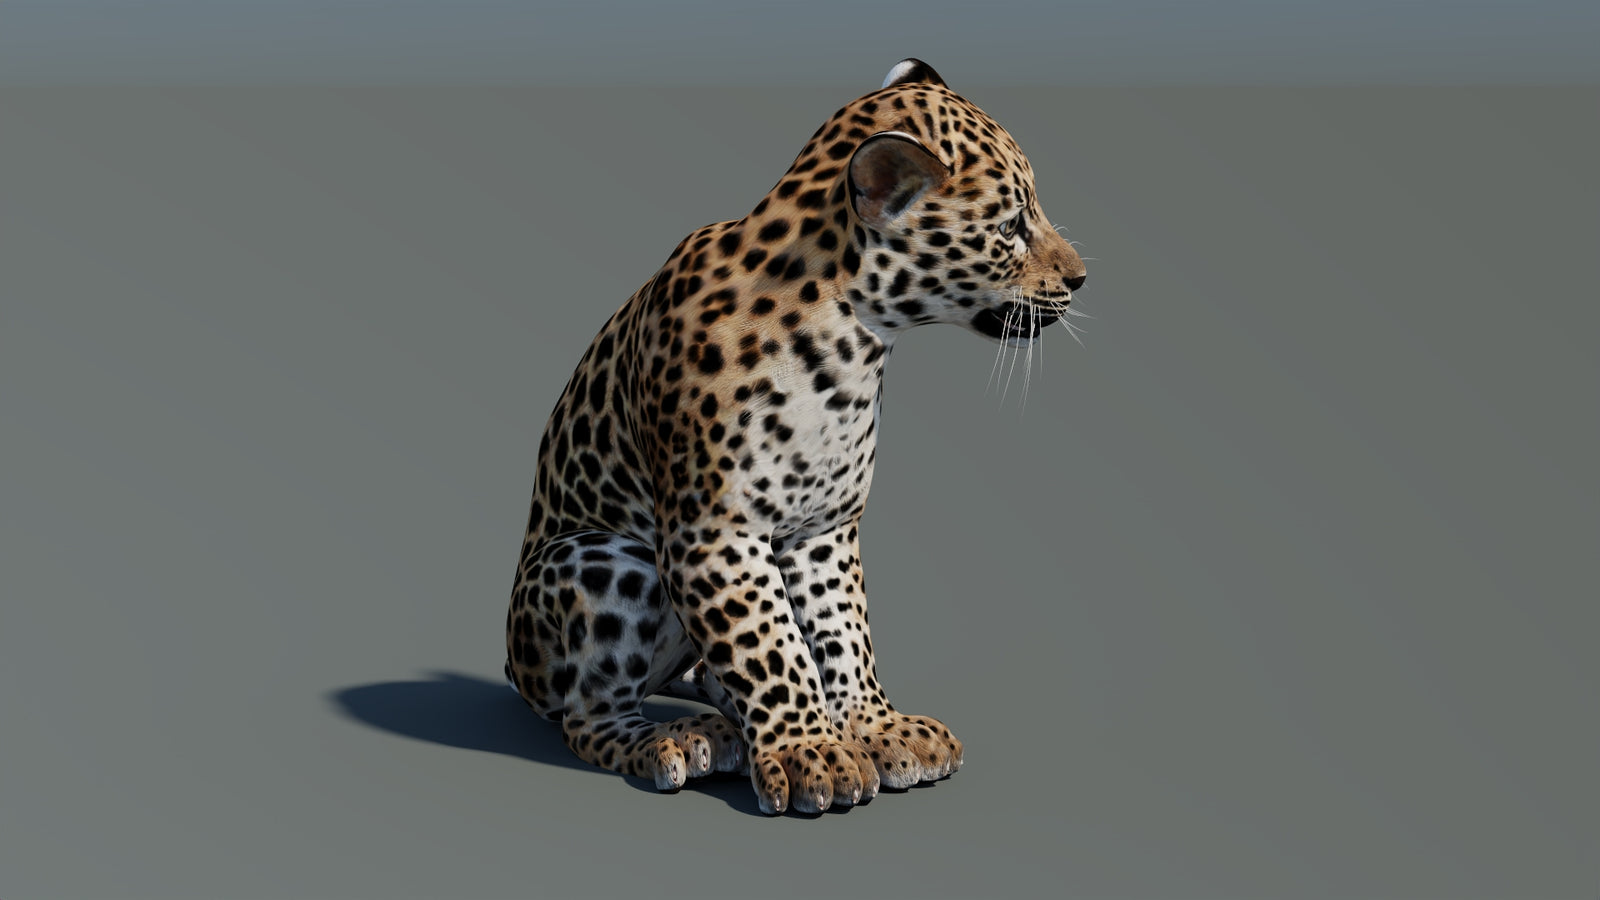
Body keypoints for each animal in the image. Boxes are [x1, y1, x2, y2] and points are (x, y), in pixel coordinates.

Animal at [504, 58, 1087, 815]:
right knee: (588, 714)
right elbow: (768, 643)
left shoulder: (823, 528)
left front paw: (874, 728)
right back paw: (680, 740)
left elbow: (841, 633)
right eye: (1012, 227)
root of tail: (512, 664)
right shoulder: (714, 531)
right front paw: (811, 751)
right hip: (604, 559)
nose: (1083, 277)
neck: (852, 340)